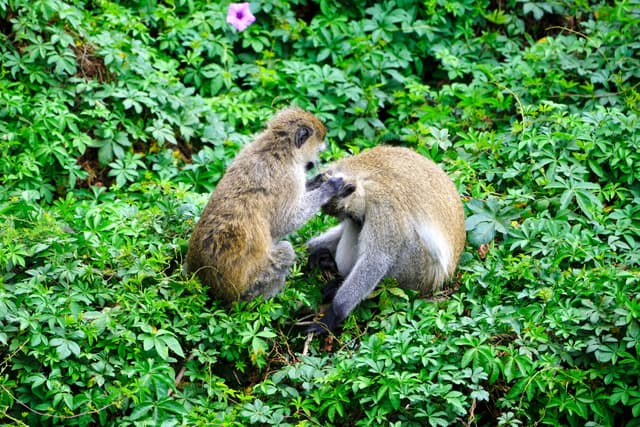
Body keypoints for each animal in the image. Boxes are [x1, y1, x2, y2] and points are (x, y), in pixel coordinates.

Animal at [184, 107, 345, 302]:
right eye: (318, 151)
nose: (314, 163)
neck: (278, 147)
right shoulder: (290, 177)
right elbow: (285, 222)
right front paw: (329, 187)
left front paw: (318, 180)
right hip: (252, 286)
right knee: (285, 251)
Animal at [305, 146, 466, 334]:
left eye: (348, 213)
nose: (356, 219)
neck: (363, 178)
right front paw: (312, 250)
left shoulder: (383, 204)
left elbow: (377, 260)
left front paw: (333, 314)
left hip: (420, 274)